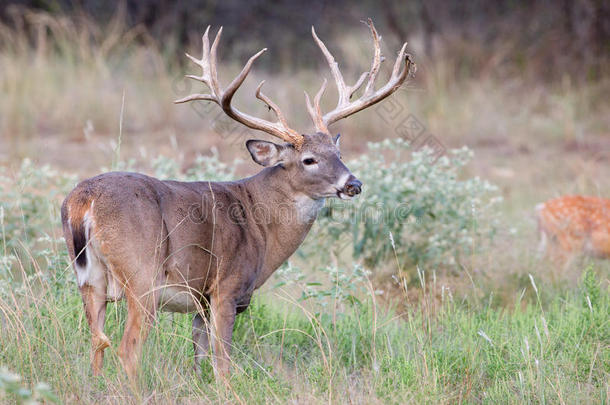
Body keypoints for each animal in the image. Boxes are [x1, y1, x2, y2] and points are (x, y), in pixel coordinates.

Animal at [60, 18, 414, 378]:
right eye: (309, 160)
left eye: (338, 153)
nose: (354, 183)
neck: (261, 224)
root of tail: (83, 201)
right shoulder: (226, 288)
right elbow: (223, 362)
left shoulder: (201, 301)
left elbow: (201, 358)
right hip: (142, 277)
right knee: (127, 348)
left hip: (90, 280)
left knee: (97, 344)